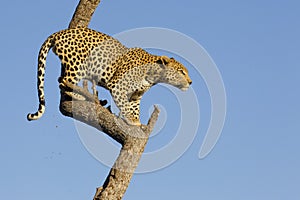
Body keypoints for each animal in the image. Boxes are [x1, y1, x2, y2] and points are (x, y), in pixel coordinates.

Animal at [28, 27, 192, 126]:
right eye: (182, 71)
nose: (190, 82)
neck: (153, 76)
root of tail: (59, 32)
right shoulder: (118, 86)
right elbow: (124, 105)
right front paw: (131, 120)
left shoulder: (136, 95)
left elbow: (134, 107)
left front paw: (136, 120)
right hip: (77, 65)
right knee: (64, 82)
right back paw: (81, 96)